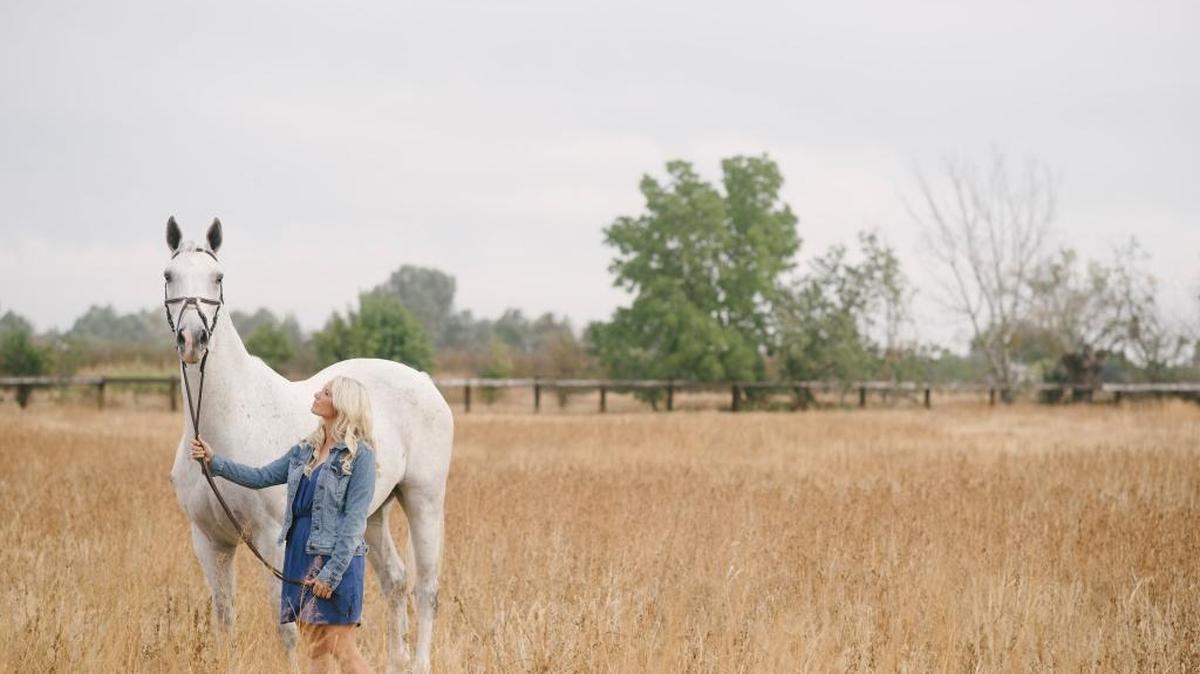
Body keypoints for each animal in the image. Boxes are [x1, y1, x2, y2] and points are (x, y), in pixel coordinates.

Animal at [163, 217, 453, 672]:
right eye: (169, 275)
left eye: (218, 276)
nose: (193, 339)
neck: (227, 416)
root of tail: (423, 380)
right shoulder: (210, 542)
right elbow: (224, 619)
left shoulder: (271, 540)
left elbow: (286, 629)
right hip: (371, 515)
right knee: (395, 582)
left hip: (424, 500)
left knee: (426, 589)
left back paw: (420, 661)